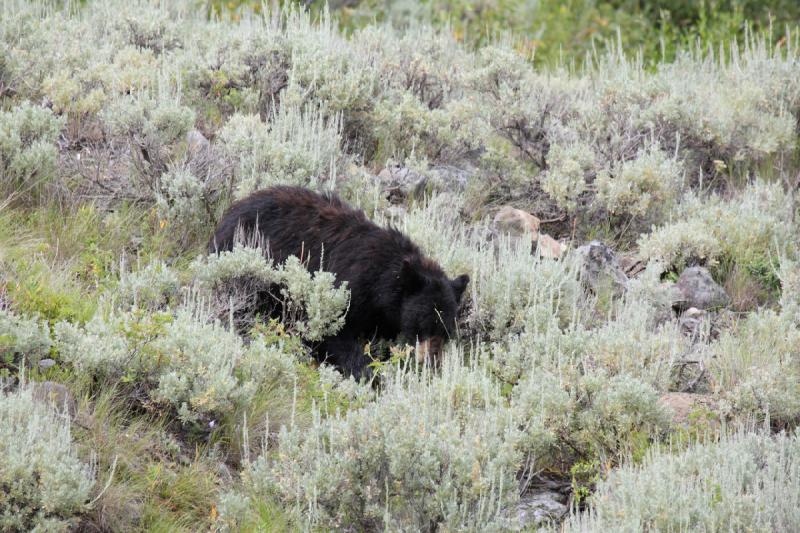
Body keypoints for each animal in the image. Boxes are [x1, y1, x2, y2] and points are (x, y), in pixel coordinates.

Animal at [208, 185, 468, 376]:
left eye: (446, 331)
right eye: (423, 324)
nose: (431, 364)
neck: (383, 281)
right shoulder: (349, 290)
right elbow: (332, 333)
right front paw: (368, 374)